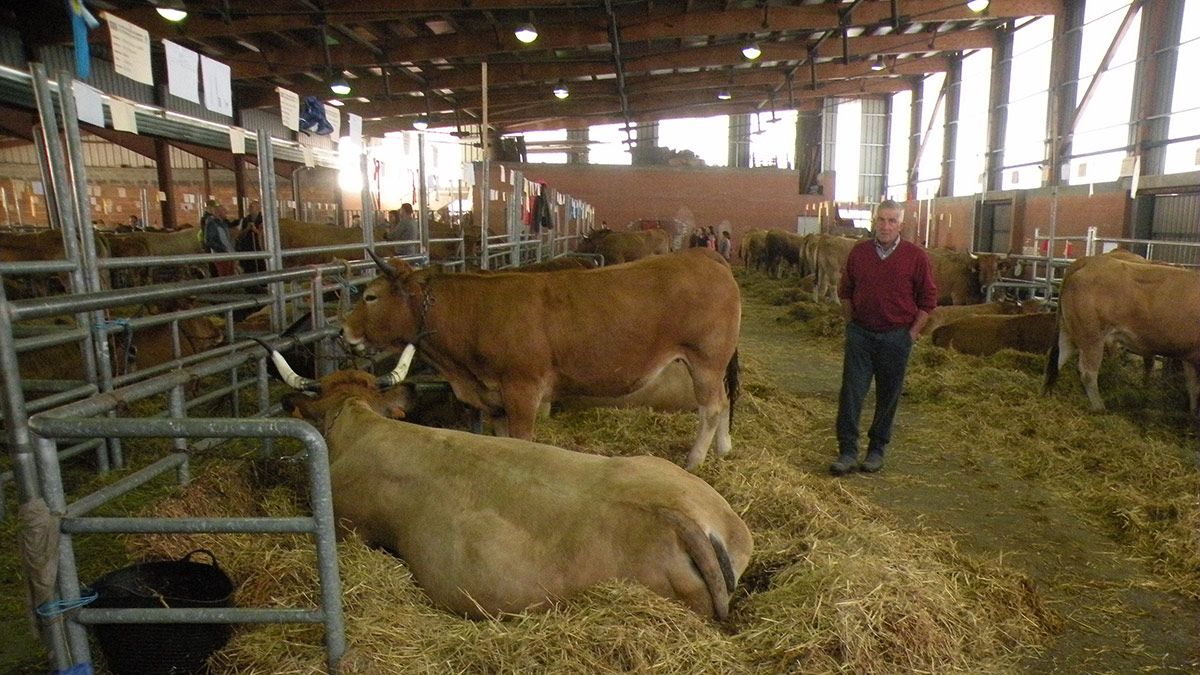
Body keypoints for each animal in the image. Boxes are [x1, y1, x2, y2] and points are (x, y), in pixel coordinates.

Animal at [343, 246, 744, 468]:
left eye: (371, 296)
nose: (343, 331)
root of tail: (702, 254)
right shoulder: (494, 397)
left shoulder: (522, 388)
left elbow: (522, 439)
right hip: (714, 365)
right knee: (724, 401)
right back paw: (724, 450)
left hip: (706, 360)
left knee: (711, 408)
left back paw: (694, 461)